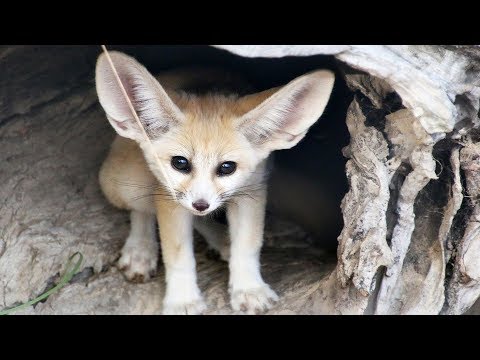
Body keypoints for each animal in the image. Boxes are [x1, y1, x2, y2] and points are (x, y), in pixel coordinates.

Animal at [94, 51, 334, 316]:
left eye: (227, 167)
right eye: (180, 163)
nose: (201, 204)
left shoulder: (252, 190)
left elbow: (247, 245)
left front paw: (248, 289)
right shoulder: (169, 197)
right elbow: (178, 255)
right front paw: (182, 301)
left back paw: (221, 240)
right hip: (125, 182)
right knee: (142, 210)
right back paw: (141, 249)